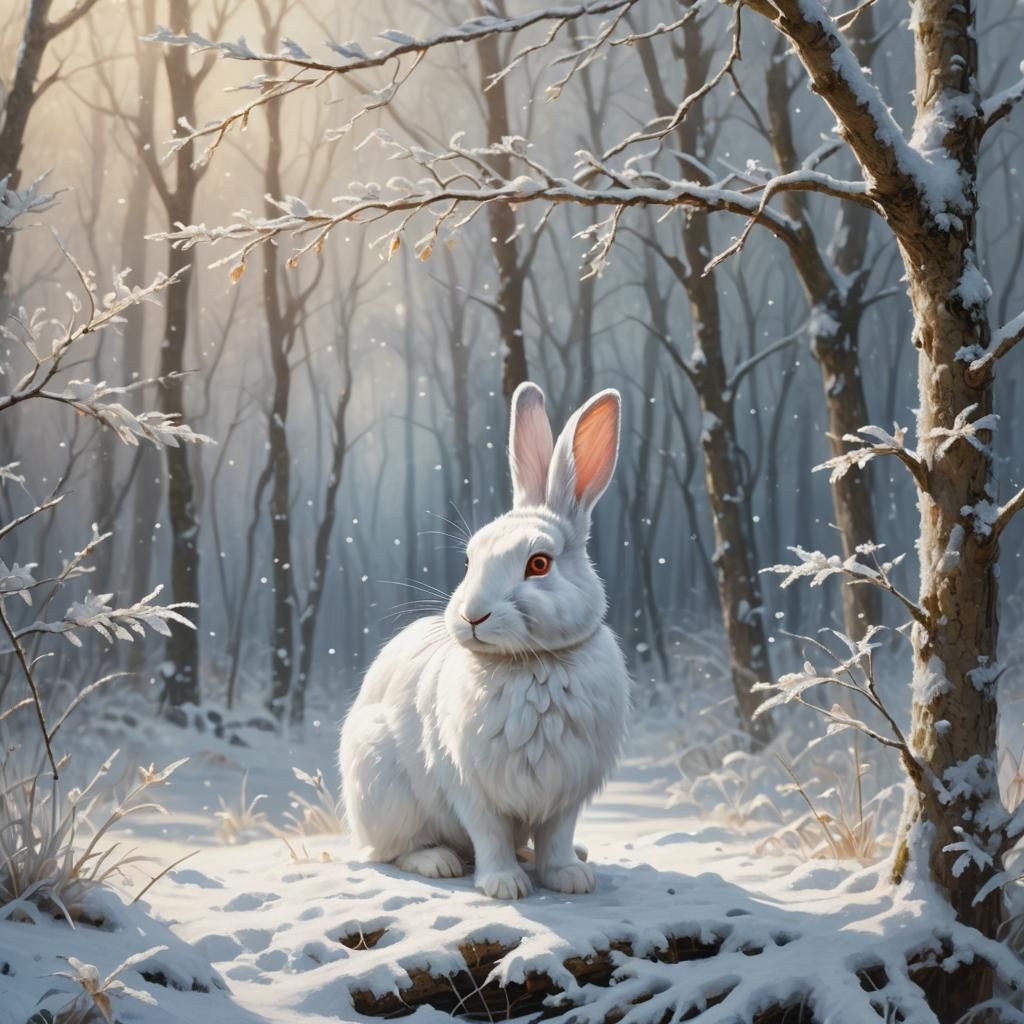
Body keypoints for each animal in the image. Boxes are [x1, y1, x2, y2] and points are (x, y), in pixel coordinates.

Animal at [338, 382, 630, 899]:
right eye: (469, 560)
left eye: (539, 563)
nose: (473, 616)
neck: (531, 662)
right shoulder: (469, 785)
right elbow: (488, 833)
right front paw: (504, 886)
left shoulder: (567, 791)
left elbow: (557, 835)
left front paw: (569, 877)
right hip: (382, 785)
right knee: (391, 852)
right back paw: (439, 862)